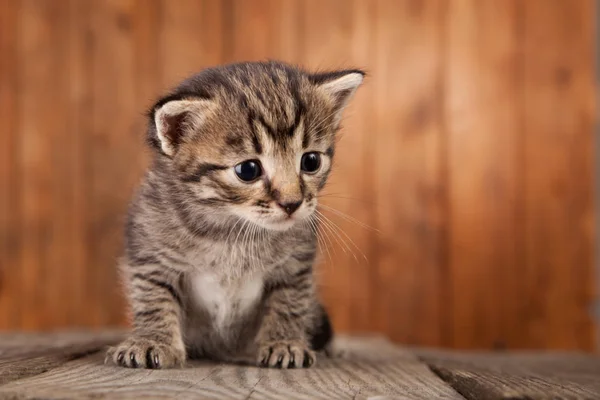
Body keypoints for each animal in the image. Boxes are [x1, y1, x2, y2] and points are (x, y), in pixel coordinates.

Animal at [105, 59, 364, 368]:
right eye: (248, 170)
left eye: (311, 161)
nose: (292, 203)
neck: (229, 229)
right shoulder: (149, 251)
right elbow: (153, 297)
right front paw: (151, 341)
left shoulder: (296, 264)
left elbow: (289, 302)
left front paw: (285, 343)